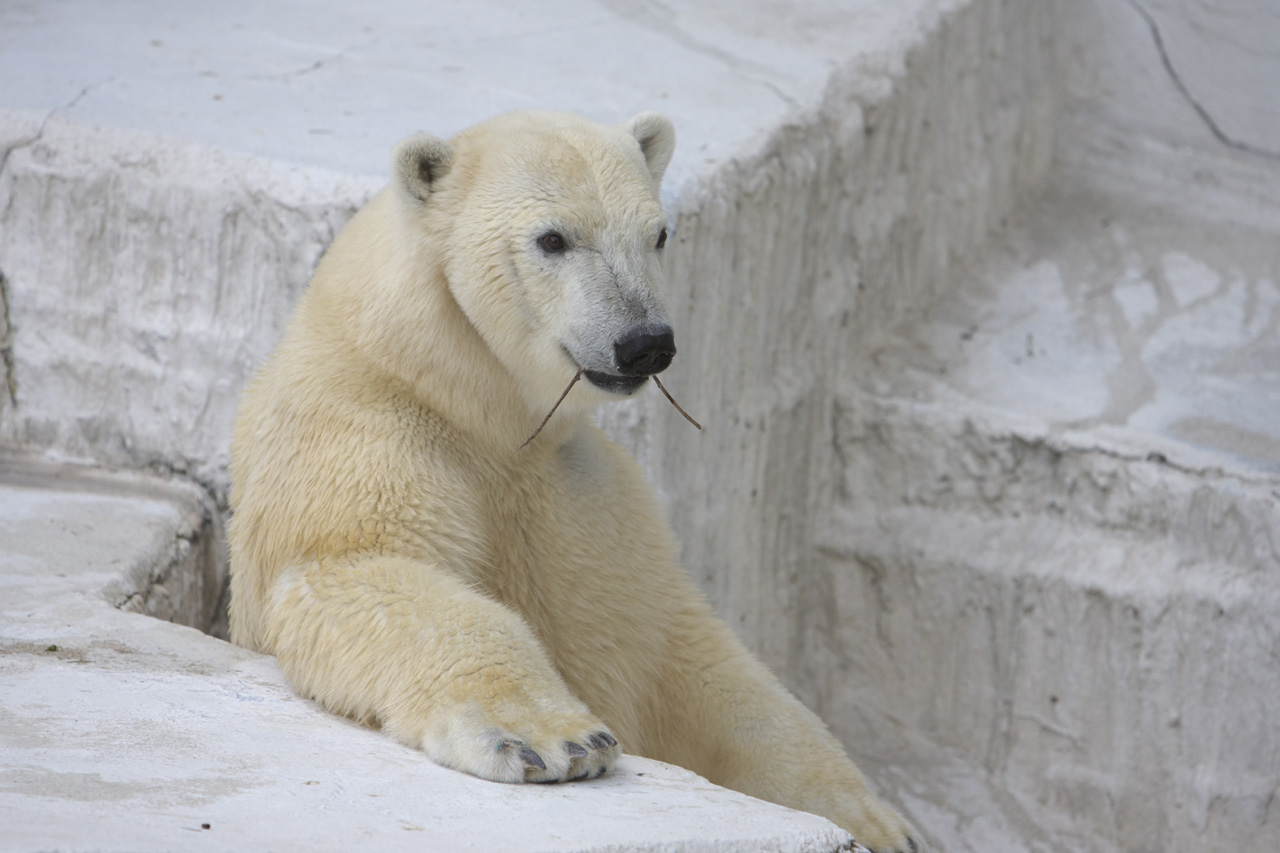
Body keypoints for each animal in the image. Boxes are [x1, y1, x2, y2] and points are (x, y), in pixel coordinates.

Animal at [225, 109, 916, 845]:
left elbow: (683, 652)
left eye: (658, 234)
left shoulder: (591, 499)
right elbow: (362, 568)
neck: (470, 404)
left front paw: (874, 819)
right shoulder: (358, 438)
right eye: (553, 239)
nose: (645, 342)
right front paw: (557, 739)